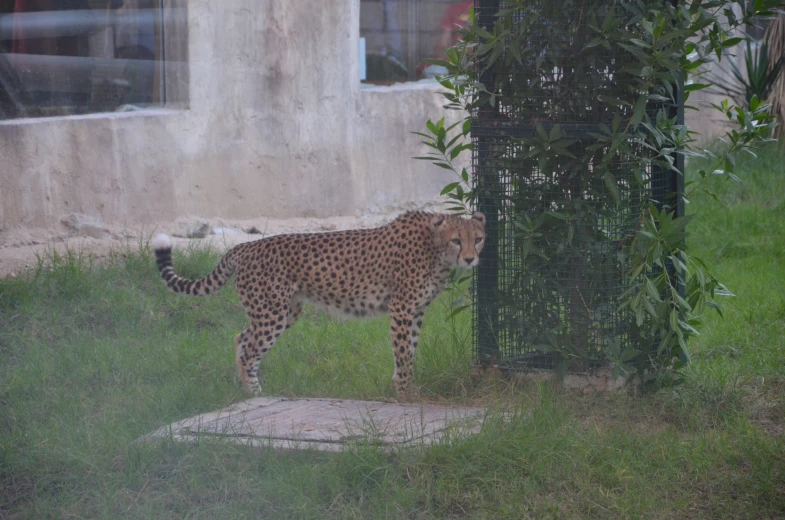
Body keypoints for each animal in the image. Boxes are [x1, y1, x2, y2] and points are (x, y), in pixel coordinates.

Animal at [152, 211, 484, 398]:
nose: (471, 259)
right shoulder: (401, 308)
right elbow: (403, 352)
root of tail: (247, 245)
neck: (435, 248)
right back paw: (254, 395)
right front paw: (405, 393)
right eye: (457, 240)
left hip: (283, 311)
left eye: (478, 239)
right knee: (248, 350)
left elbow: (411, 350)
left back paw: (247, 390)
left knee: (241, 337)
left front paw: (406, 387)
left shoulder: (415, 311)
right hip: (272, 313)